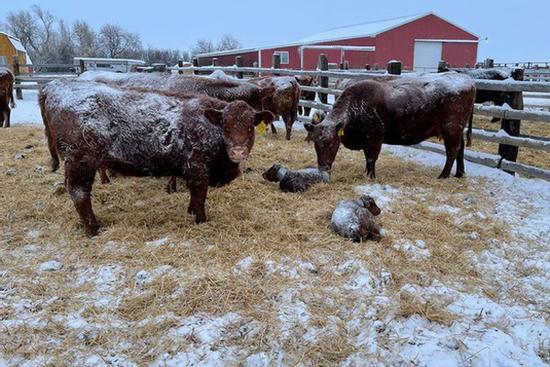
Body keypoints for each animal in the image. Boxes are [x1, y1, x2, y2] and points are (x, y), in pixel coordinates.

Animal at [38, 79, 274, 237]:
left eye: (251, 126)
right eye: (225, 124)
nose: (238, 151)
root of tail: (54, 86)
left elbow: (193, 195)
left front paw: (190, 211)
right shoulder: (198, 169)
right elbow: (200, 196)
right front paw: (201, 220)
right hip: (80, 163)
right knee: (80, 194)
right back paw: (93, 229)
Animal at [306, 72, 478, 179]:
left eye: (331, 143)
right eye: (315, 143)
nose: (323, 168)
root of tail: (468, 80)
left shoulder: (375, 136)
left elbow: (371, 158)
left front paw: (370, 176)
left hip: (451, 128)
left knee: (452, 151)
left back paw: (443, 175)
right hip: (457, 130)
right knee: (461, 148)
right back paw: (459, 173)